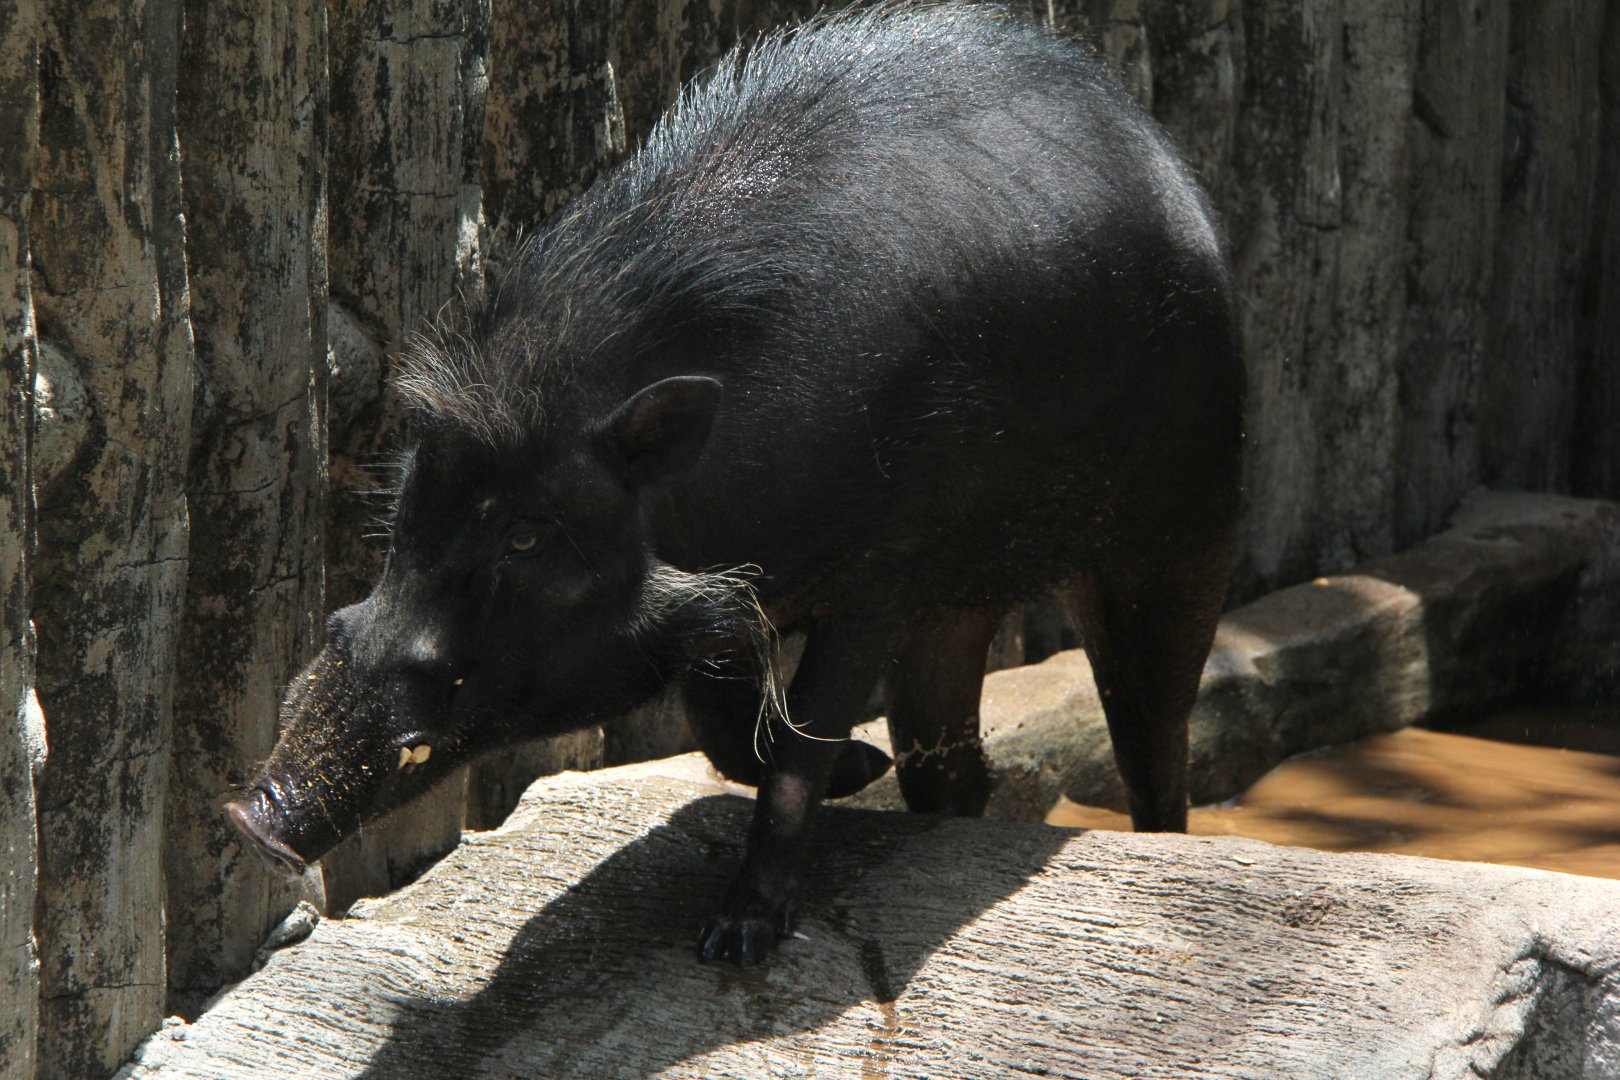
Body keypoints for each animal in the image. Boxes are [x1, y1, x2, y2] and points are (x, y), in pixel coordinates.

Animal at [227, 1, 1244, 966]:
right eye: (408, 508)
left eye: (524, 532)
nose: (250, 820)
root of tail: (1166, 160)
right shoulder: (737, 605)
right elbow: (726, 729)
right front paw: (859, 773)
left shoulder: (880, 574)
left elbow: (797, 748)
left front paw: (734, 944)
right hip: (960, 609)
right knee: (946, 759)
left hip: (1182, 529)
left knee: (1156, 735)